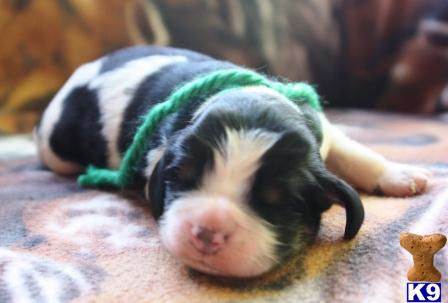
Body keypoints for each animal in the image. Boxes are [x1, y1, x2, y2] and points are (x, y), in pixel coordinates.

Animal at [36, 46, 430, 280]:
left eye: (278, 202)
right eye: (180, 177)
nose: (207, 233)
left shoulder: (324, 132)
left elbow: (352, 152)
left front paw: (400, 175)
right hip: (57, 149)